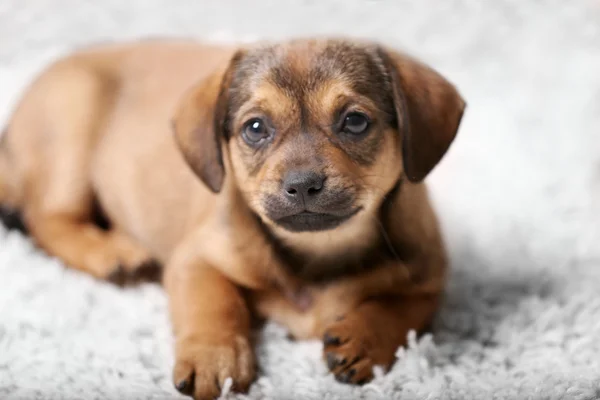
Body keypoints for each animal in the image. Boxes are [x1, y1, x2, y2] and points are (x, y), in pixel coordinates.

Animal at [0, 38, 464, 400]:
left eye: (354, 121)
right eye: (255, 128)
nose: (302, 184)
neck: (318, 252)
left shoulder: (429, 277)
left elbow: (402, 310)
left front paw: (367, 336)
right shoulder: (195, 260)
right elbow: (214, 303)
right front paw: (214, 357)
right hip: (71, 125)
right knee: (45, 217)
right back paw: (110, 253)